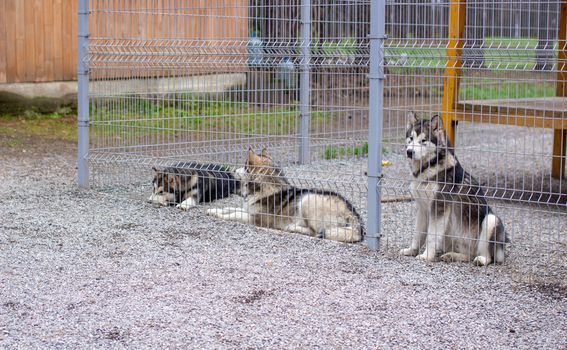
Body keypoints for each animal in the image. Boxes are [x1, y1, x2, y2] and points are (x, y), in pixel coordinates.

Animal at [207, 148, 364, 243]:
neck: (263, 188)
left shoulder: (256, 219)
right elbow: (230, 208)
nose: (232, 170)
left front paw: (220, 215)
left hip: (307, 199)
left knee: (315, 233)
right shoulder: (248, 209)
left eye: (245, 167)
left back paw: (292, 228)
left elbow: (234, 214)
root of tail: (353, 215)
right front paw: (214, 210)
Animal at [402, 112, 508, 266]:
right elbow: (417, 234)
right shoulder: (423, 209)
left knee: (487, 256)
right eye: (411, 138)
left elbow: (431, 236)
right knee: (468, 255)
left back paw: (481, 259)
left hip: (491, 219)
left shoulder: (438, 208)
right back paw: (452, 256)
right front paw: (411, 250)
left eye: (423, 140)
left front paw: (427, 256)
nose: (409, 152)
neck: (428, 168)